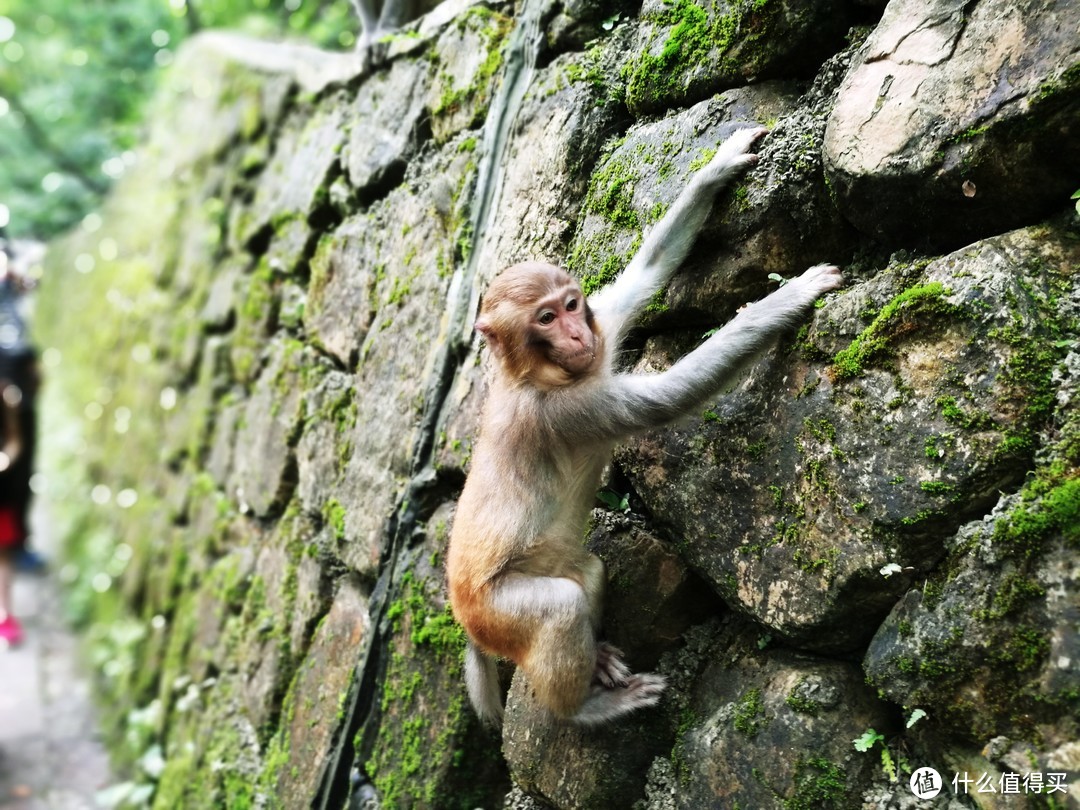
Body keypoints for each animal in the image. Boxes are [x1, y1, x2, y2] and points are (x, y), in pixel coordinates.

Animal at [447, 126, 842, 730]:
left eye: (571, 305)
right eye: (545, 319)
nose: (577, 336)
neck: (535, 374)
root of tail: (463, 615)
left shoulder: (601, 333)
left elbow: (645, 274)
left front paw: (717, 168)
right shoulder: (568, 410)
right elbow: (665, 400)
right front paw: (786, 298)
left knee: (585, 573)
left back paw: (598, 658)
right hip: (497, 611)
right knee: (556, 610)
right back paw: (584, 709)